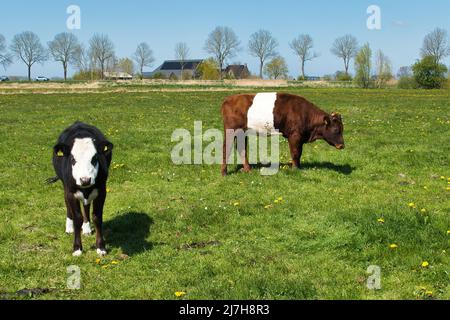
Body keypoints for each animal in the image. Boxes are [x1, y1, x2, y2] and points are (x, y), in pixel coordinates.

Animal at [47, 121, 113, 256]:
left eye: (95, 158)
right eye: (72, 159)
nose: (85, 180)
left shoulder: (101, 191)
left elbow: (97, 217)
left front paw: (101, 247)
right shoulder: (71, 193)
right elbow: (77, 218)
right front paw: (77, 248)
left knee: (86, 206)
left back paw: (86, 227)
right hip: (65, 186)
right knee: (67, 205)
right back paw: (69, 227)